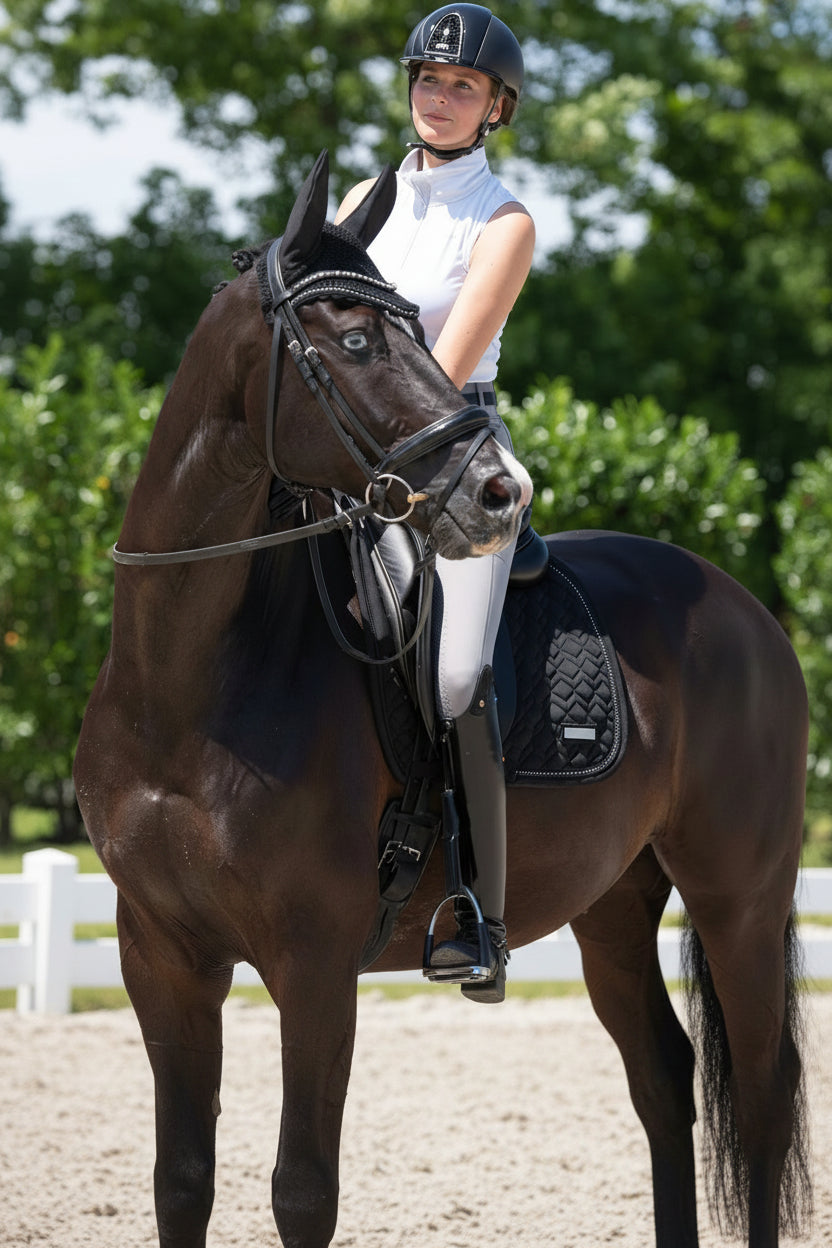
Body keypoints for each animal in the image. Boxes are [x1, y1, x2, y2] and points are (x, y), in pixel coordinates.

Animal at [74, 151, 811, 1248]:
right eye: (353, 338)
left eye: (421, 334)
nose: (501, 494)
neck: (186, 682)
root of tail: (746, 611)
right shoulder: (160, 957)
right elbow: (181, 1180)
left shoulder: (313, 963)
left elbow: (302, 1191)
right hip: (613, 902)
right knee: (661, 1077)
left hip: (740, 896)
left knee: (760, 1096)